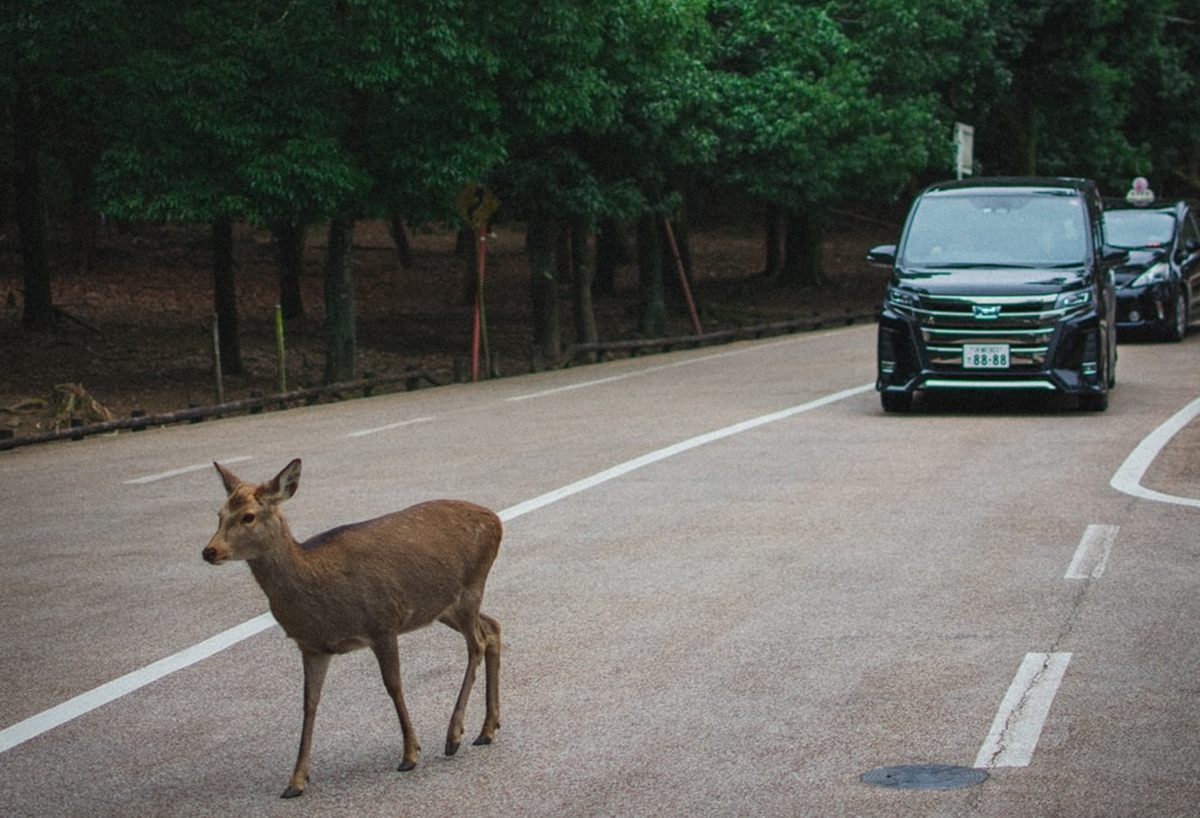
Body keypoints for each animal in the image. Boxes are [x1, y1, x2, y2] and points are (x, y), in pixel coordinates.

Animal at [204, 458, 504, 796]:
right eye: (219, 515)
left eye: (248, 516)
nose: (209, 551)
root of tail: (496, 521)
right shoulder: (312, 646)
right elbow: (309, 703)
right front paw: (296, 780)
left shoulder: (382, 622)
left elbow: (393, 685)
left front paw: (410, 753)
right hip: (444, 606)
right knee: (493, 627)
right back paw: (487, 729)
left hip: (470, 588)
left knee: (477, 643)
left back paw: (454, 735)